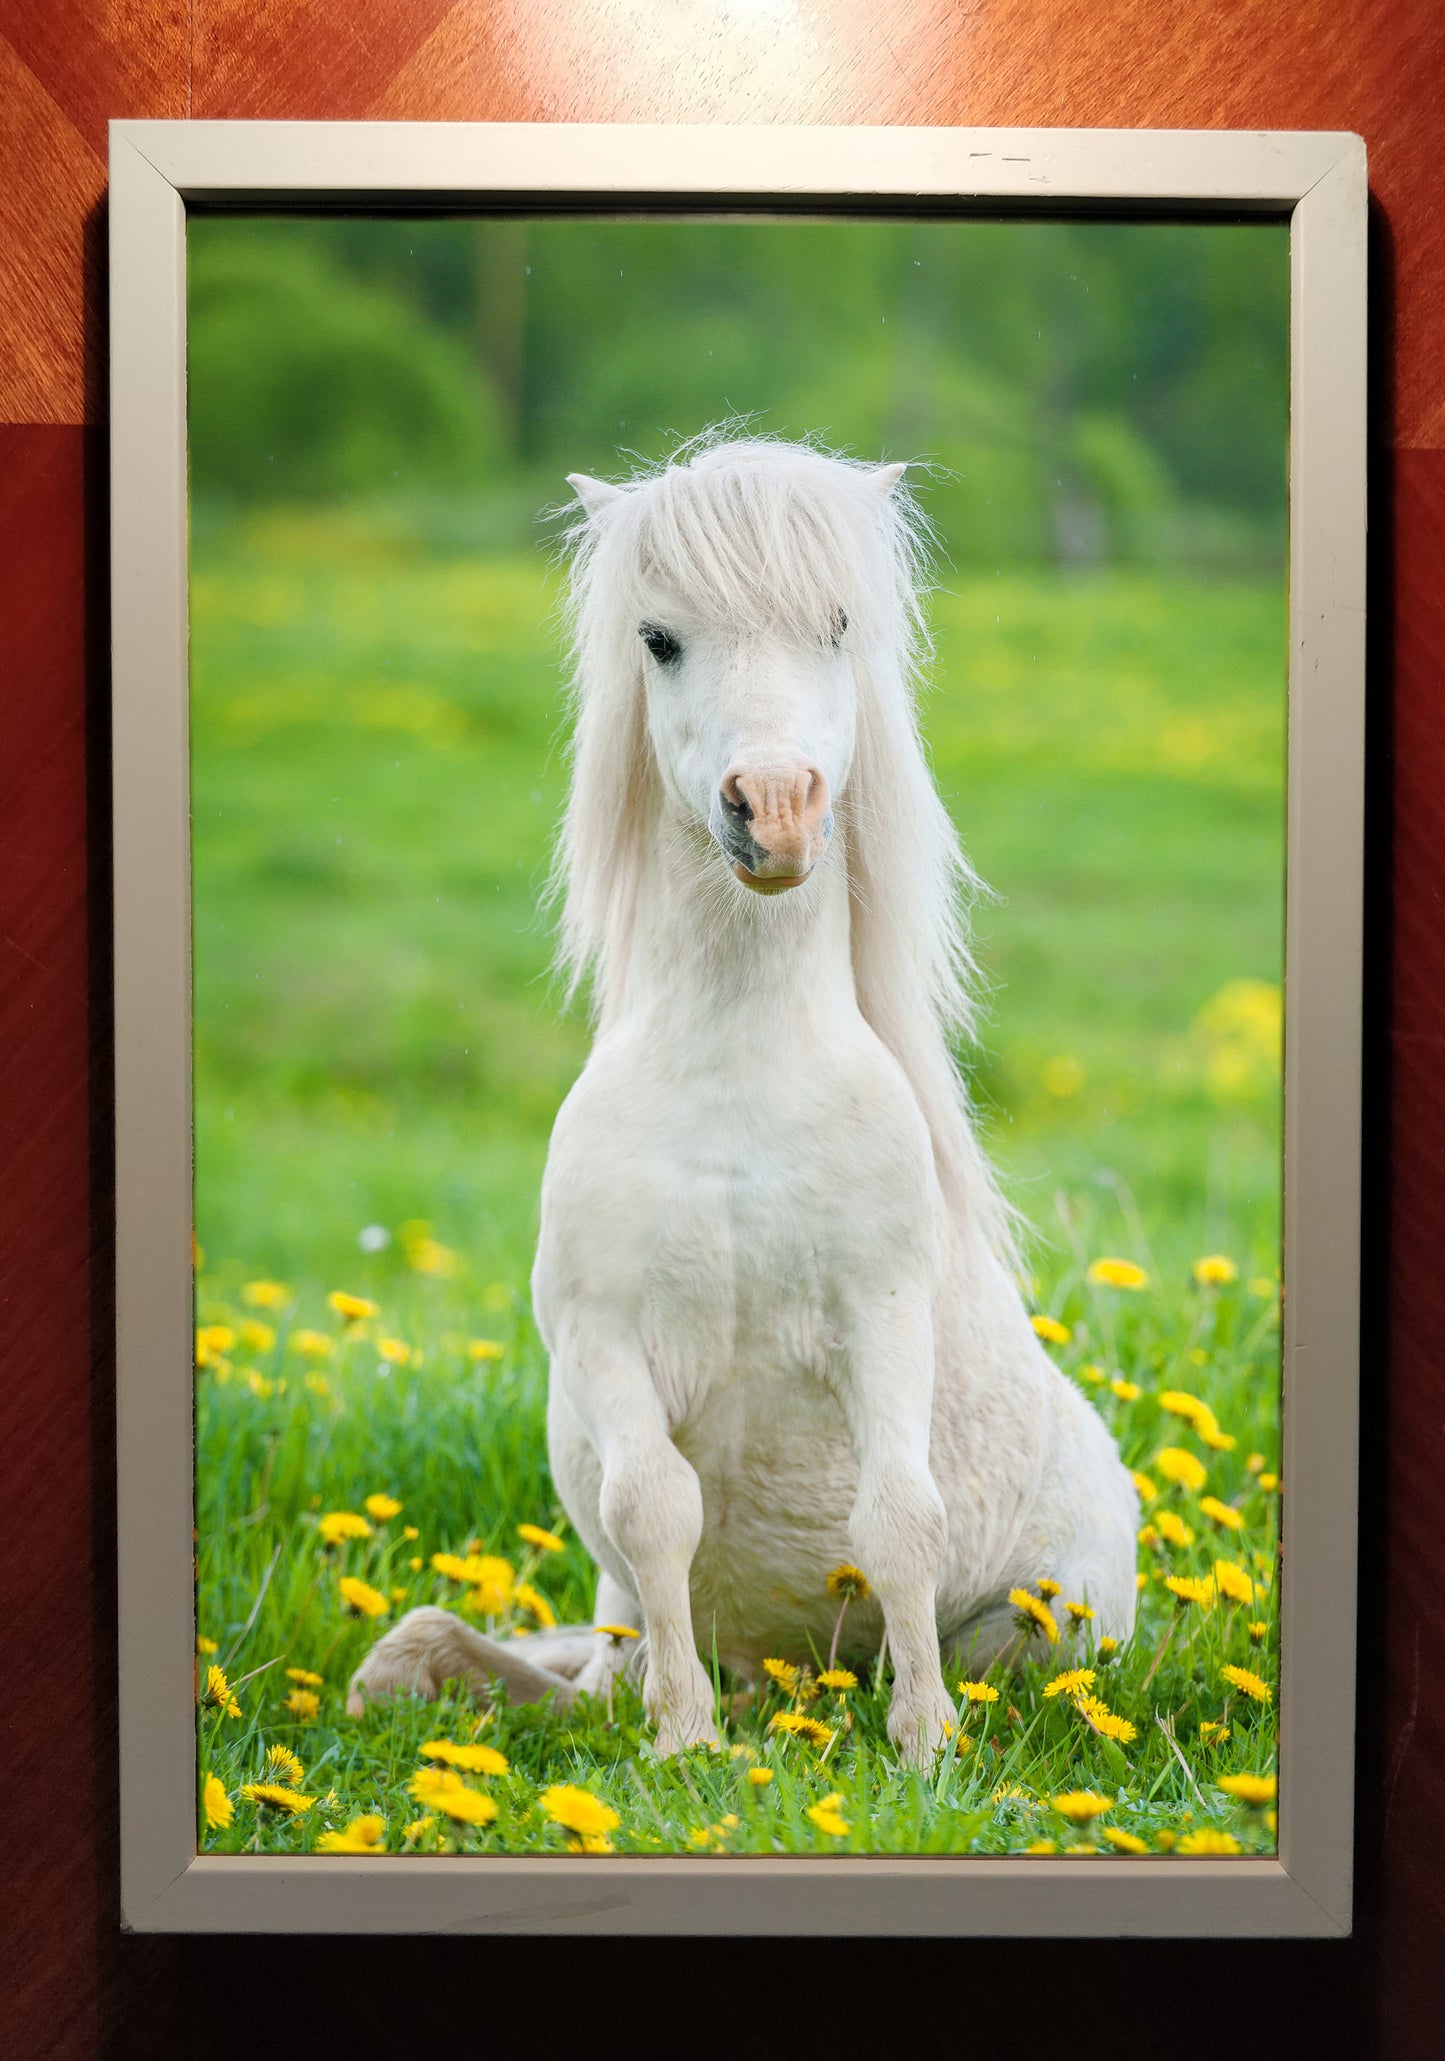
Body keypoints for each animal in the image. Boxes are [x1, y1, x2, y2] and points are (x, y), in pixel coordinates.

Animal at [347, 434, 1139, 1764]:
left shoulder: (881, 1321)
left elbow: (897, 1520)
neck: (737, 1090)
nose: (773, 808)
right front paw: (683, 1741)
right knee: (420, 1654)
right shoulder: (607, 1338)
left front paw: (924, 1746)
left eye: (838, 623)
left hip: (1055, 1624)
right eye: (660, 638)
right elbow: (653, 1508)